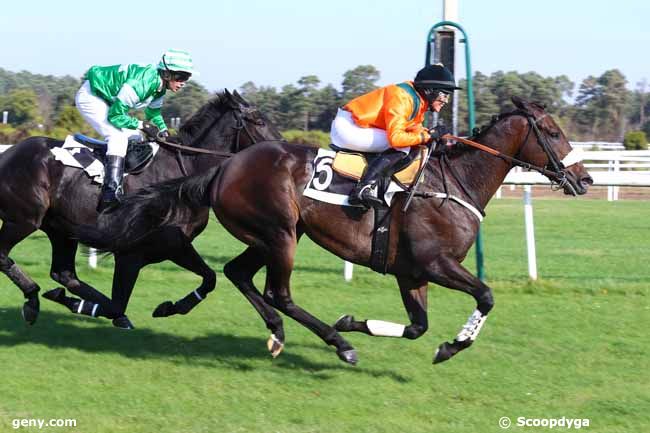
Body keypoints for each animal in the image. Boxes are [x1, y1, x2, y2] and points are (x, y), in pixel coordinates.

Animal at [0, 89, 280, 326]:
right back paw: (32, 298)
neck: (183, 174)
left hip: (61, 230)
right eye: (258, 120)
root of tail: (7, 155)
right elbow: (117, 305)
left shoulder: (174, 245)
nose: (280, 147)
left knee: (64, 273)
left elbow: (209, 278)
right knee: (5, 257)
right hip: (23, 220)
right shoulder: (131, 253)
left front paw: (168, 308)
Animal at [78, 97, 588, 362]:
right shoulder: (435, 263)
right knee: (278, 291)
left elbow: (417, 327)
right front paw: (454, 343)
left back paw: (278, 332)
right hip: (280, 234)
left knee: (239, 275)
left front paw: (354, 321)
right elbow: (485, 296)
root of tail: (224, 167)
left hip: (274, 235)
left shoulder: (411, 273)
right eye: (553, 132)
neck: (452, 182)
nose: (584, 179)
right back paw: (338, 345)